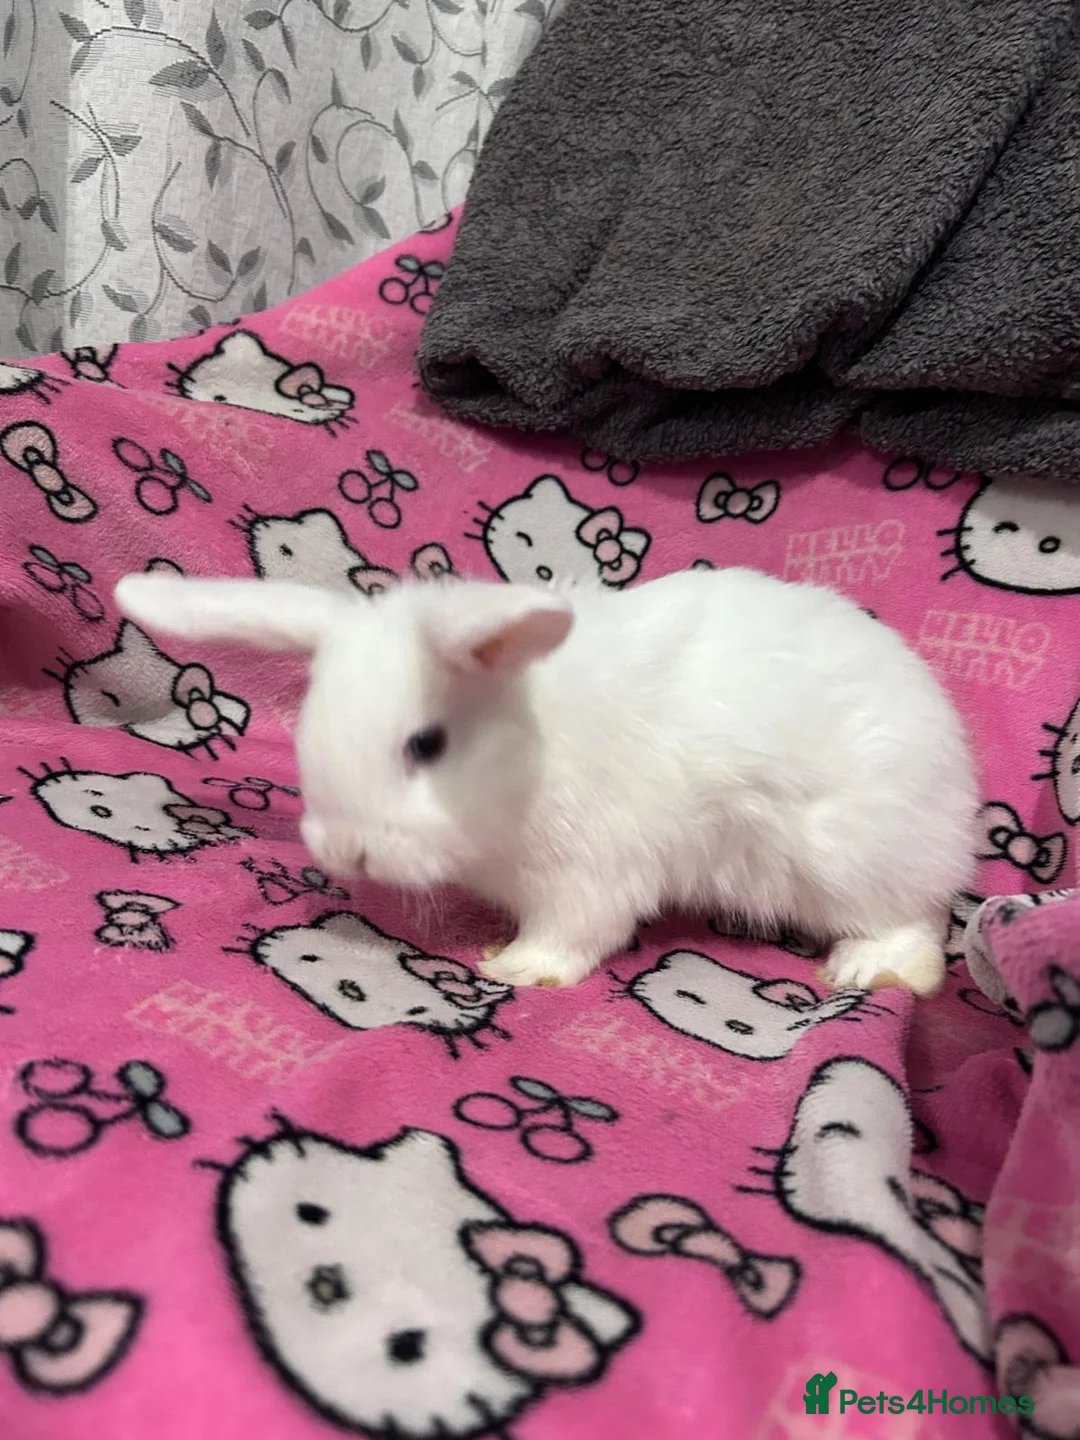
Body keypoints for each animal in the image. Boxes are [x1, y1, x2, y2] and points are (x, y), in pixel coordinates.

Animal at [114, 567, 978, 993]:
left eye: (426, 744)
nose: (347, 853)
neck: (531, 752)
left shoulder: (590, 872)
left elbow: (576, 932)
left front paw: (519, 968)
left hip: (852, 858)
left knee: (916, 920)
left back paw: (871, 970)